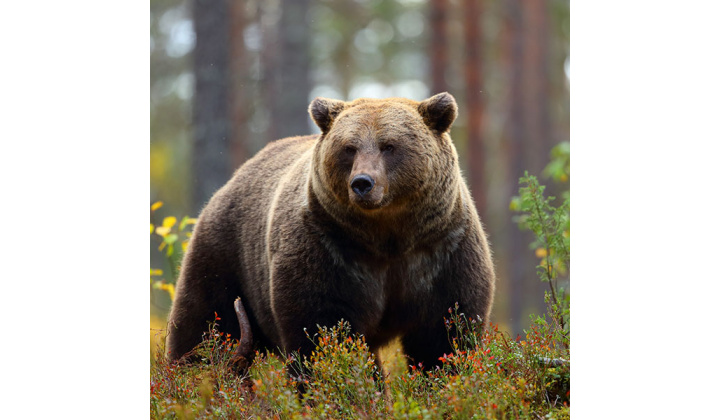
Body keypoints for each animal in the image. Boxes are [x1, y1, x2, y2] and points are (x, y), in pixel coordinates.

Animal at [167, 92, 498, 368]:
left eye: (389, 146)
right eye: (349, 148)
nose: (362, 183)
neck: (389, 237)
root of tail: (233, 179)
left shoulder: (442, 249)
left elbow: (445, 335)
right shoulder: (328, 248)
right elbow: (323, 331)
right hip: (226, 255)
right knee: (203, 325)